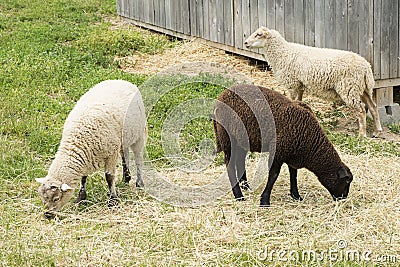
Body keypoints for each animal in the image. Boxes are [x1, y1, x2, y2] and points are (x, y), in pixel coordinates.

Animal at [36, 79, 147, 218]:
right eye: (42, 197)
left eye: (56, 198)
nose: (47, 215)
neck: (78, 141)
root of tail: (121, 80)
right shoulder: (87, 156)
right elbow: (83, 178)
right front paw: (81, 198)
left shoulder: (111, 153)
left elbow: (109, 177)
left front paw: (113, 200)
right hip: (124, 138)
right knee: (125, 154)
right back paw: (126, 178)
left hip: (139, 134)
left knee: (138, 159)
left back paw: (139, 183)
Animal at [212, 85, 354, 208]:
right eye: (346, 181)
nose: (343, 198)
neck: (311, 143)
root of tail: (221, 97)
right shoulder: (278, 152)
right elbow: (273, 176)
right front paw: (265, 201)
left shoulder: (292, 154)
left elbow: (293, 174)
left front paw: (296, 195)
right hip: (227, 138)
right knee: (230, 165)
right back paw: (239, 195)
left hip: (242, 140)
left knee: (240, 161)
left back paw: (246, 186)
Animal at [244, 27, 382, 138]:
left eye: (258, 34)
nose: (245, 42)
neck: (283, 53)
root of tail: (366, 67)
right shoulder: (299, 85)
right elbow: (299, 101)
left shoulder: (292, 84)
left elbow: (292, 101)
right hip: (362, 88)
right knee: (373, 107)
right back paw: (377, 131)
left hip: (349, 89)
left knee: (361, 111)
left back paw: (361, 135)